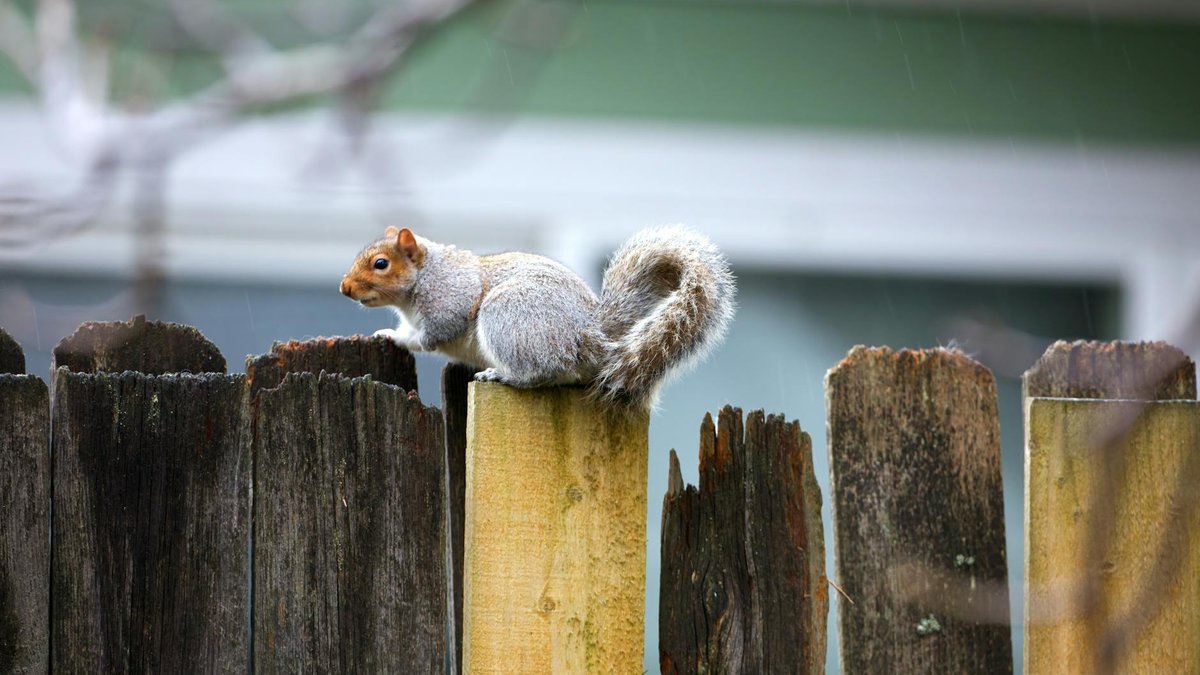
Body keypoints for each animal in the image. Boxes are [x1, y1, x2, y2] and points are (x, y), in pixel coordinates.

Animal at [340, 226, 735, 409]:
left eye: (380, 264)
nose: (344, 288)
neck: (425, 275)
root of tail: (587, 339)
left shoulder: (448, 301)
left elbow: (431, 334)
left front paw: (396, 337)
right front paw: (388, 332)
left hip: (507, 316)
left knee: (541, 373)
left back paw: (502, 374)